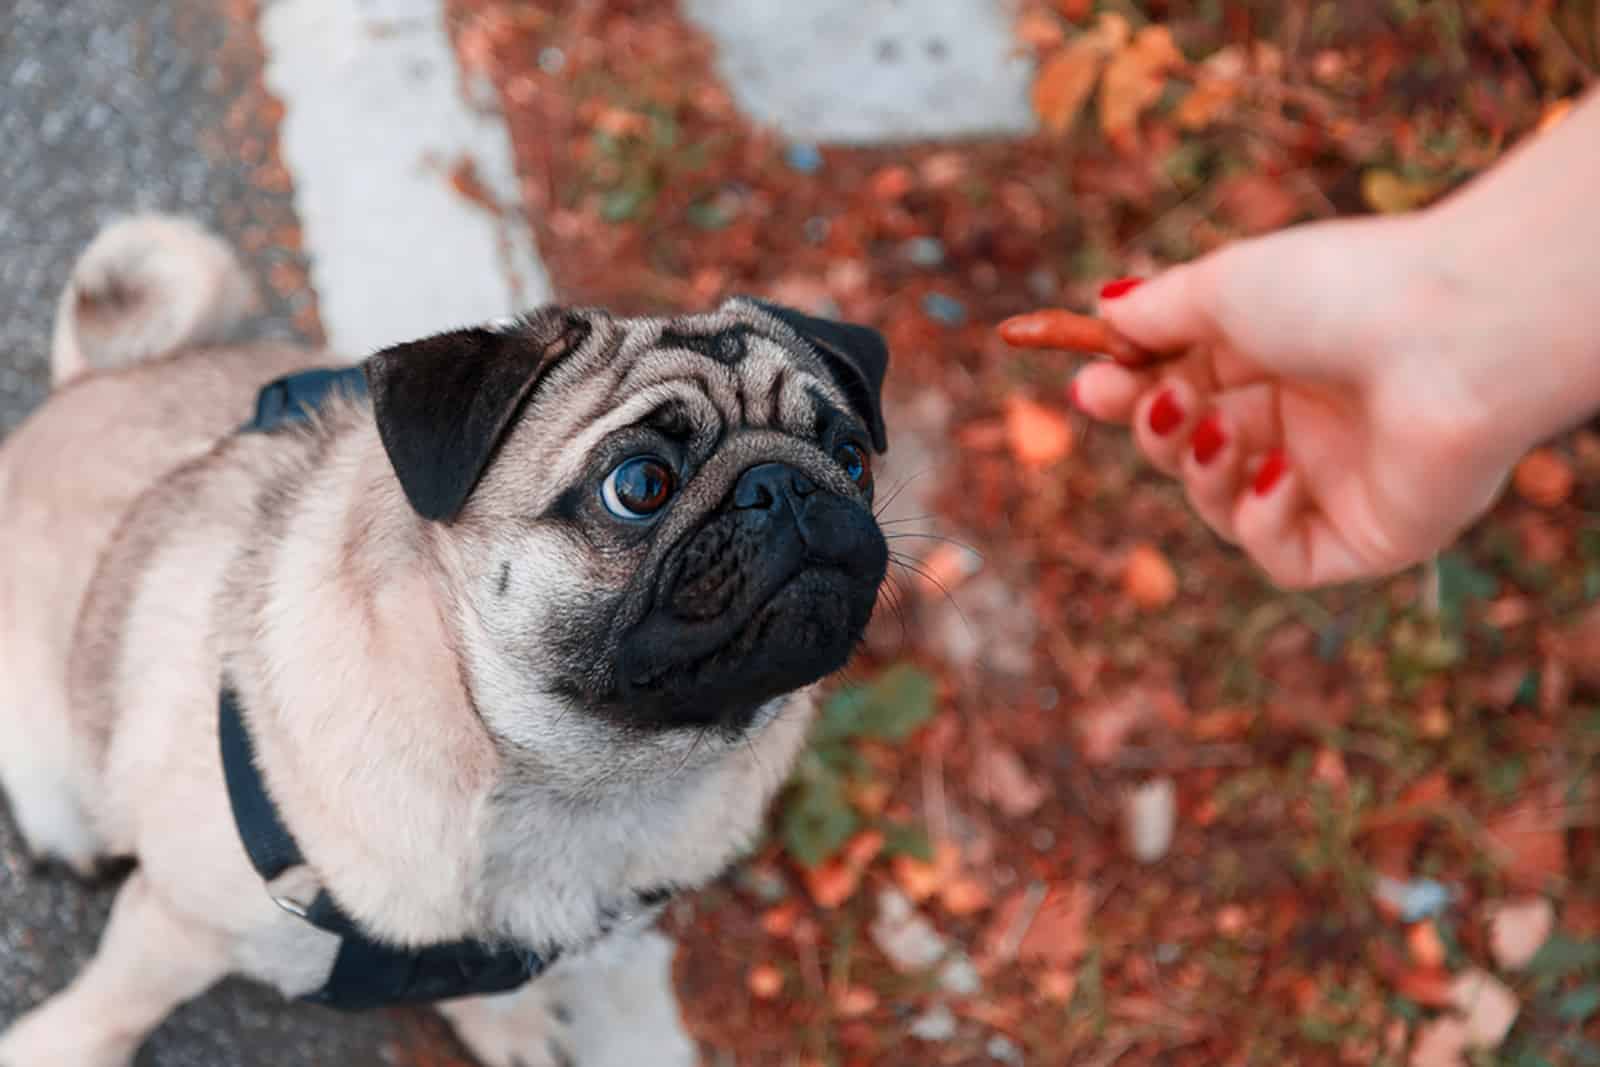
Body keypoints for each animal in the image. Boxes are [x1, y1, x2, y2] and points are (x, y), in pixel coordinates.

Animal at [0, 212, 889, 1062]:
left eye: (852, 456)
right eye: (639, 485)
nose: (786, 485)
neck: (576, 786)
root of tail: (91, 379)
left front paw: (506, 1025)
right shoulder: (180, 920)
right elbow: (113, 1012)